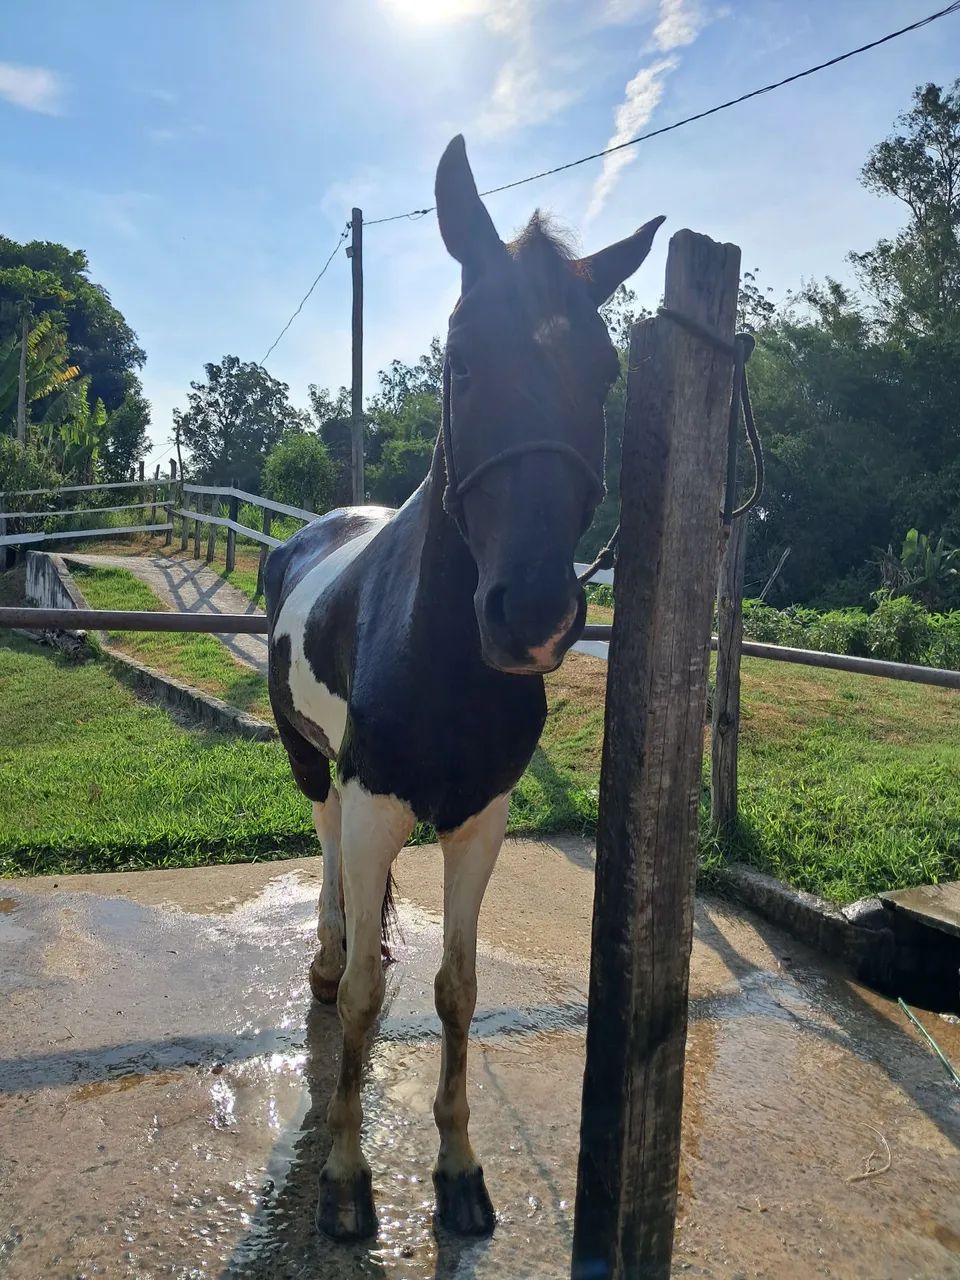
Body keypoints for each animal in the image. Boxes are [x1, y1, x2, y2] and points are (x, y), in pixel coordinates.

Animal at [264, 134, 663, 1242]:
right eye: (460, 357)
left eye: (605, 371)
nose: (531, 614)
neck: (438, 654)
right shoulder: (374, 800)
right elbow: (365, 999)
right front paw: (347, 1179)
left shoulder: (481, 816)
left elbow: (458, 987)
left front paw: (457, 1169)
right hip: (313, 764)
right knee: (326, 859)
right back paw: (326, 952)